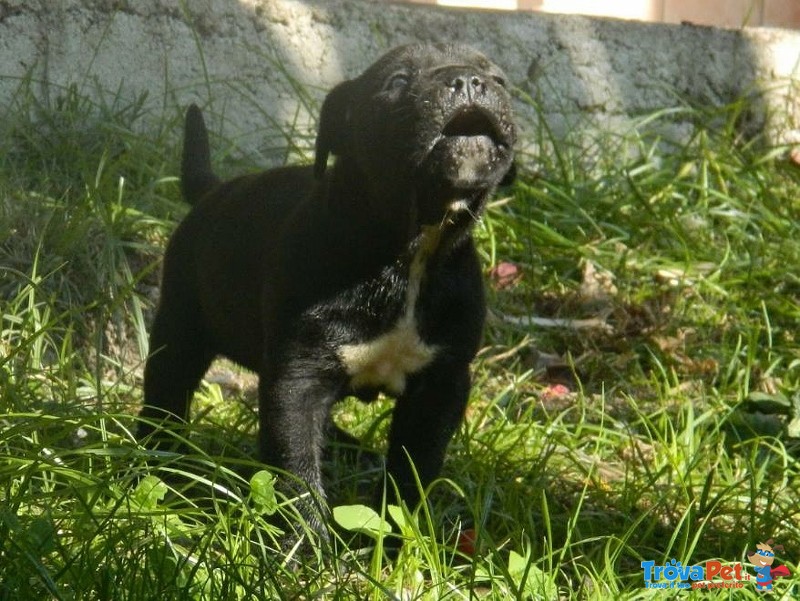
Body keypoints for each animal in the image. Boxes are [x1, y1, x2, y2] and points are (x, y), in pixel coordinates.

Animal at [140, 43, 516, 540]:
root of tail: (213, 191)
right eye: (397, 82)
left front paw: (397, 536)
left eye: (500, 80)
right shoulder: (298, 378)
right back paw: (155, 464)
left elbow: (412, 469)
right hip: (182, 324)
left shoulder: (440, 385)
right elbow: (296, 468)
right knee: (166, 393)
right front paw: (307, 544)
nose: (468, 81)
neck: (408, 252)